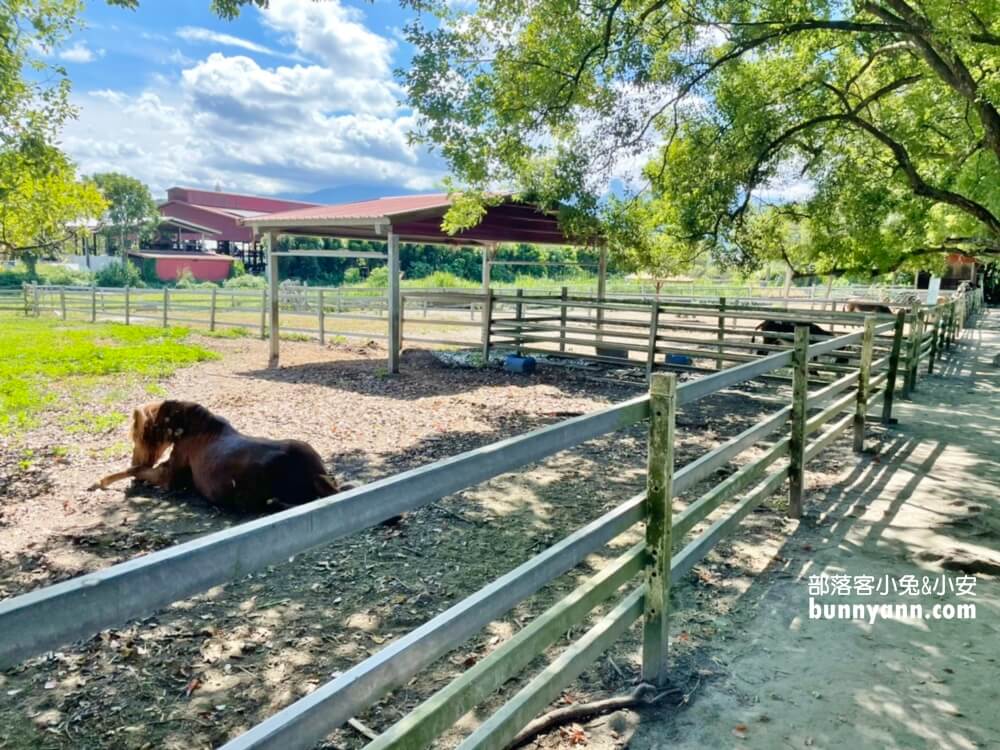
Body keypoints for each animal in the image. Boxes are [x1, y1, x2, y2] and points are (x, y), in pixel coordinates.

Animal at [96, 402, 342, 516]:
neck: (185, 428)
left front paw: (101, 482)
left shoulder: (169, 478)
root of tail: (315, 473)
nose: (134, 458)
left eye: (137, 436)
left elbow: (137, 472)